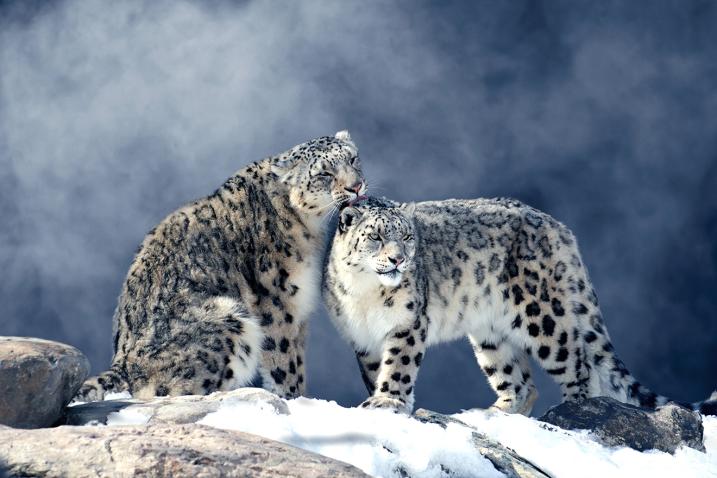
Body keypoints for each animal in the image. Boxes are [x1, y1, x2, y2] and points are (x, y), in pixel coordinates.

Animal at [75, 132, 366, 404]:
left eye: (353, 159)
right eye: (324, 173)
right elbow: (286, 364)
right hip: (228, 319)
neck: (310, 226)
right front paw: (296, 400)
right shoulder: (278, 305)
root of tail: (122, 363)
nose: (356, 186)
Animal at [324, 197, 716, 414]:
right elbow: (376, 370)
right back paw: (492, 413)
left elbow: (399, 366)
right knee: (520, 380)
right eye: (376, 237)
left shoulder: (407, 324)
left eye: (407, 237)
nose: (398, 259)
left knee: (579, 363)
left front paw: (387, 401)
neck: (366, 294)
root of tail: (557, 226)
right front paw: (380, 399)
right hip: (490, 334)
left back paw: (574, 411)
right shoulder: (362, 340)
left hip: (543, 315)